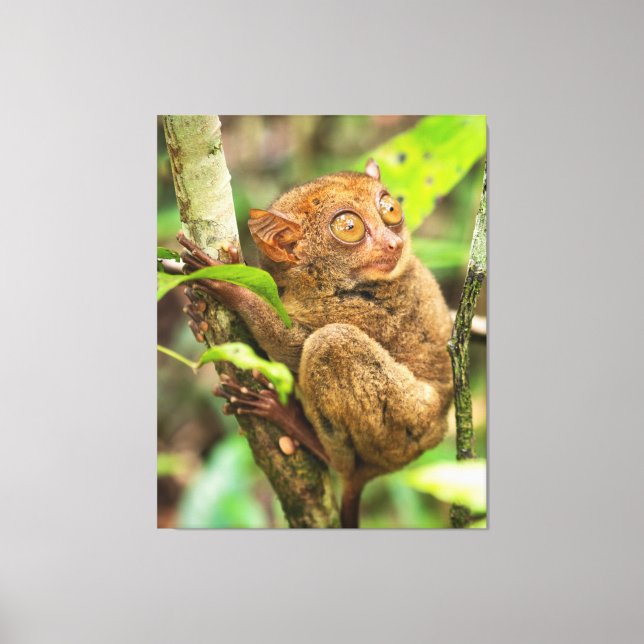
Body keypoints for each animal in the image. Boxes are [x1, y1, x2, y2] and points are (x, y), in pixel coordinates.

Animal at [178, 159, 454, 528]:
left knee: (331, 342)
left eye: (389, 210)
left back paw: (295, 425)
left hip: (404, 423)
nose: (393, 243)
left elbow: (290, 349)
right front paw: (196, 316)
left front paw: (230, 284)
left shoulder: (368, 310)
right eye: (350, 227)